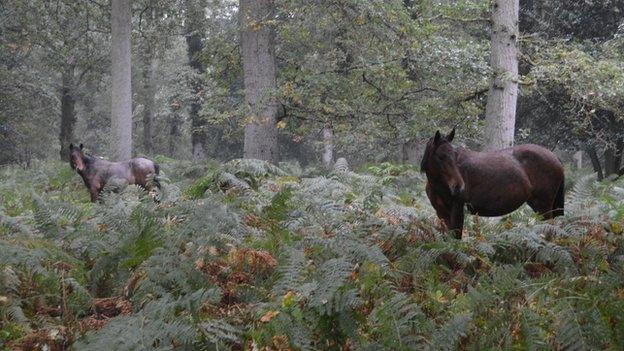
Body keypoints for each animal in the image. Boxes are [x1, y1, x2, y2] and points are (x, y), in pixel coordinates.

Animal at [422, 129, 564, 239]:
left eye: (454, 155)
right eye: (440, 156)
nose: (459, 187)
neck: (438, 185)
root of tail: (555, 157)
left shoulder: (457, 209)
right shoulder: (441, 212)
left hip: (545, 206)